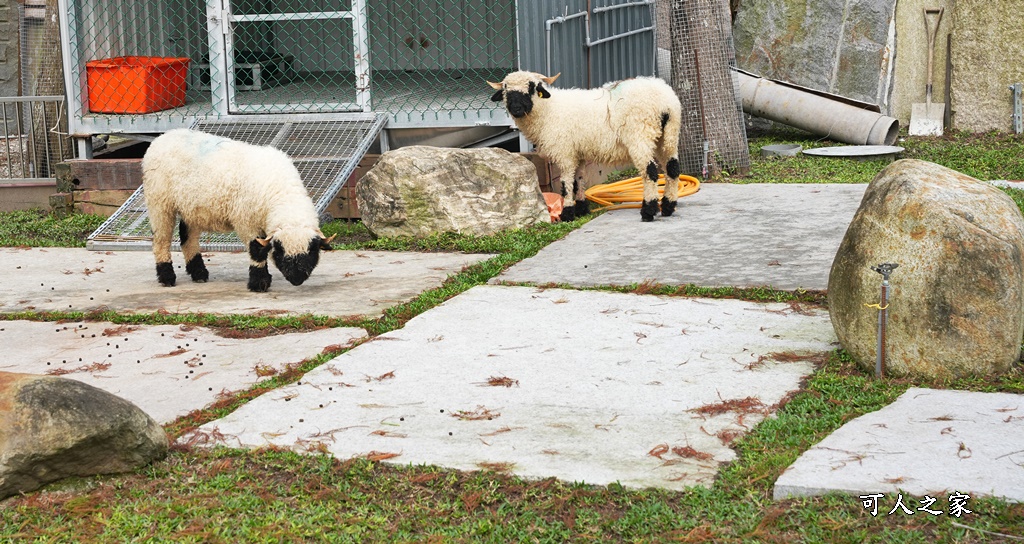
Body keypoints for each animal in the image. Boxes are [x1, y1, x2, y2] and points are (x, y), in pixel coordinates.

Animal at [142, 128, 333, 290]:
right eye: (280, 251)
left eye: (312, 251)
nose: (296, 280)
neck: (281, 193)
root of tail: (163, 136)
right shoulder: (246, 221)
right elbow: (257, 251)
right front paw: (259, 283)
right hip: (159, 201)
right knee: (161, 240)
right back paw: (167, 277)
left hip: (192, 206)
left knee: (187, 237)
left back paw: (199, 273)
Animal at [485, 71, 679, 222]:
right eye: (506, 90)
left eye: (532, 87)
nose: (516, 108)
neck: (548, 111)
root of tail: (666, 103)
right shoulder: (577, 153)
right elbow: (578, 181)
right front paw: (581, 210)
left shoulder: (564, 153)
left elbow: (566, 184)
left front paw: (567, 213)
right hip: (668, 137)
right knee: (672, 169)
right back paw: (668, 207)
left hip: (640, 137)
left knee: (650, 172)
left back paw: (649, 210)